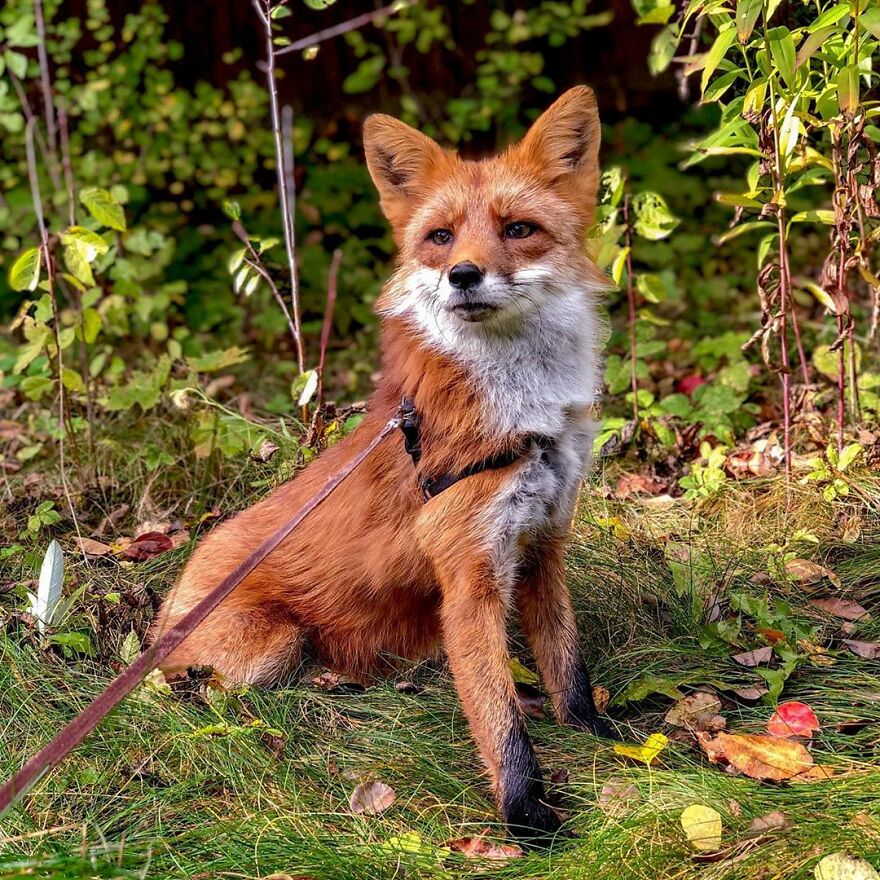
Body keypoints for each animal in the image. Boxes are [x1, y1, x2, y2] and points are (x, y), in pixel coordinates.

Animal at [152, 85, 615, 840]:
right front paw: (526, 817)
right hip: (269, 648)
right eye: (441, 237)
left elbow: (566, 666)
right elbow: (501, 722)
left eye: (519, 229)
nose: (463, 275)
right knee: (186, 700)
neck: (527, 413)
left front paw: (598, 734)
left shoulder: (543, 541)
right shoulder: (469, 573)